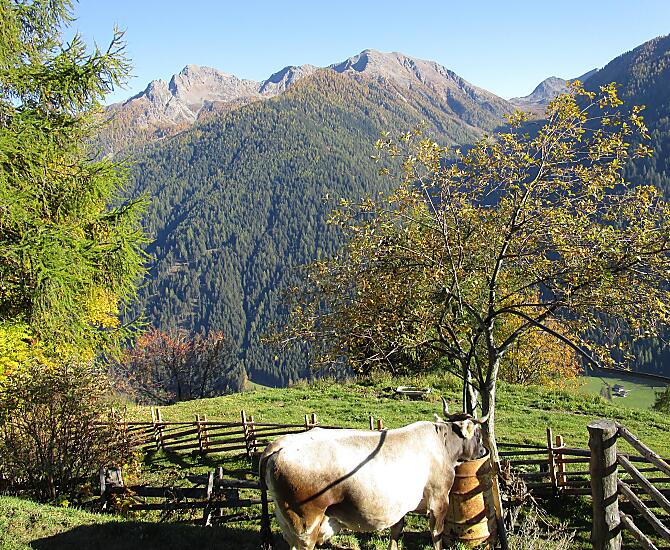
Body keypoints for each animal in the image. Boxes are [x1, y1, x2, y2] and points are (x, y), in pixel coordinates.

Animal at [259, 399, 488, 550]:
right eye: (478, 433)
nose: (483, 451)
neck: (442, 444)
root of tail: (281, 444)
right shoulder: (439, 500)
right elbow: (436, 535)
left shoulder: (399, 506)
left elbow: (396, 531)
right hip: (306, 524)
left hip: (287, 521)